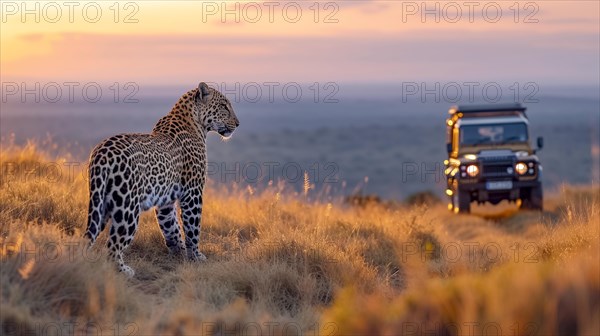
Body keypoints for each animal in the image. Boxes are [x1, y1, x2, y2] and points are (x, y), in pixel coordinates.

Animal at [84, 81, 239, 276]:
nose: (238, 124)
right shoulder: (193, 192)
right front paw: (196, 256)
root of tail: (102, 152)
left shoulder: (166, 200)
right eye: (224, 106)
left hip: (100, 203)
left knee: (88, 236)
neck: (196, 124)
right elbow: (193, 227)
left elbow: (171, 227)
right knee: (112, 246)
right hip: (127, 208)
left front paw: (179, 253)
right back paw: (124, 271)